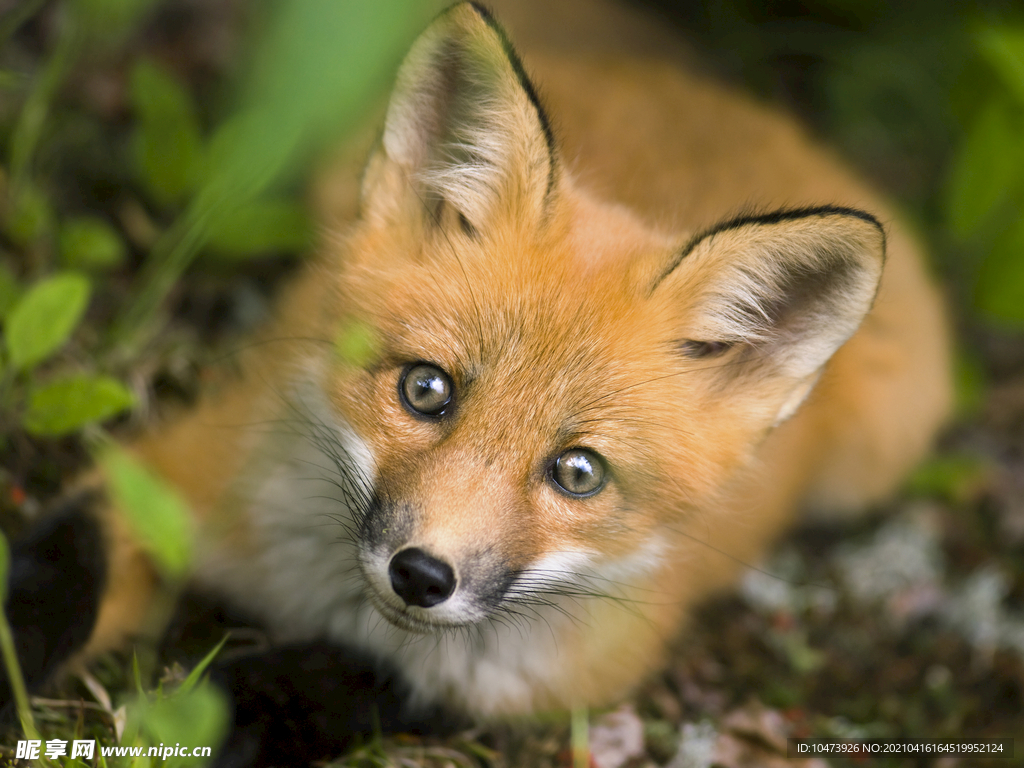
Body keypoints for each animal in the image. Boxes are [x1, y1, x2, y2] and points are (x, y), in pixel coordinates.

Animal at [6, 0, 950, 765]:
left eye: (579, 472)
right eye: (426, 390)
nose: (422, 576)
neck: (321, 593)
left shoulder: (543, 675)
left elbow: (341, 682)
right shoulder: (171, 476)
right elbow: (55, 578)